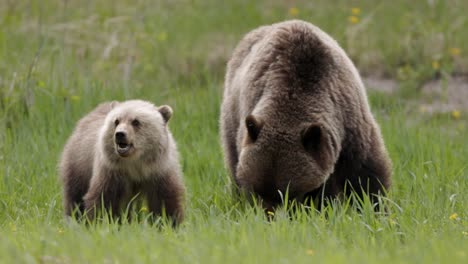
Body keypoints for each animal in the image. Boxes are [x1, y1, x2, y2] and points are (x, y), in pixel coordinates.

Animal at [219, 20, 392, 210]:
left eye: (287, 192)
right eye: (258, 190)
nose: (269, 213)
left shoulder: (350, 123)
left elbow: (366, 173)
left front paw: (374, 207)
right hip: (232, 117)